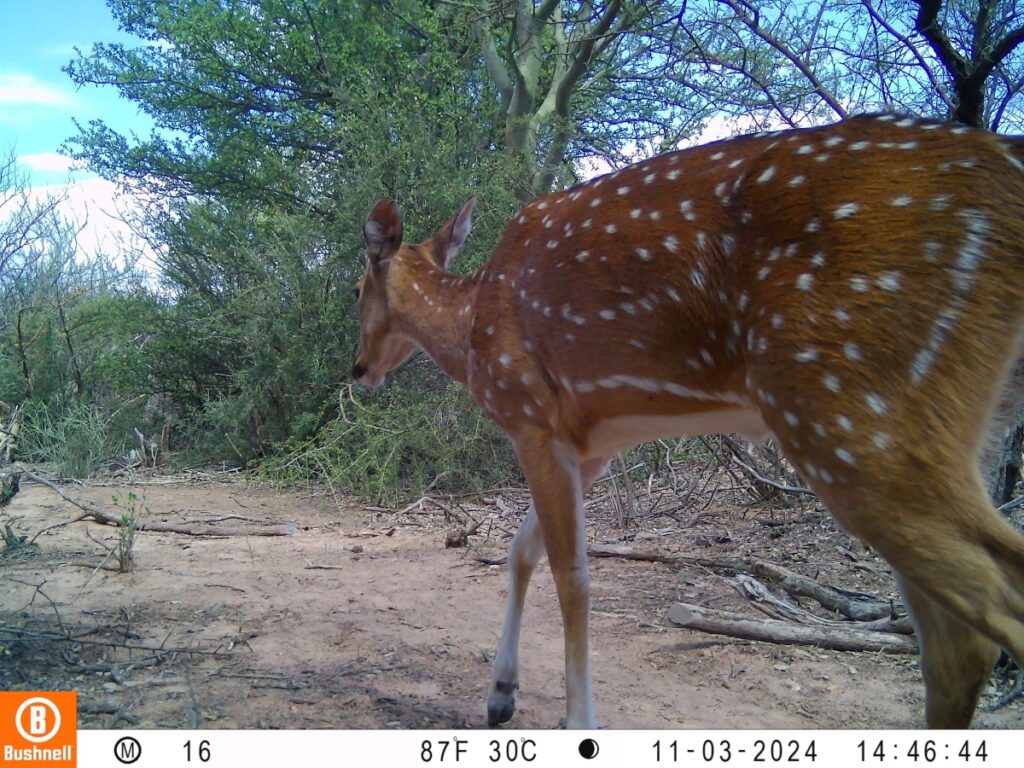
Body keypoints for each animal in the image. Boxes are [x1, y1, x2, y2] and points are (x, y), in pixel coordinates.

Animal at [352, 114, 1024, 729]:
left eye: (358, 286)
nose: (358, 368)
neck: (473, 331)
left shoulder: (530, 413)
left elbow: (574, 578)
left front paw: (579, 722)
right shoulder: (589, 442)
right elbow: (522, 551)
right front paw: (499, 695)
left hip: (851, 409)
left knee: (986, 613)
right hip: (943, 425)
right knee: (955, 646)